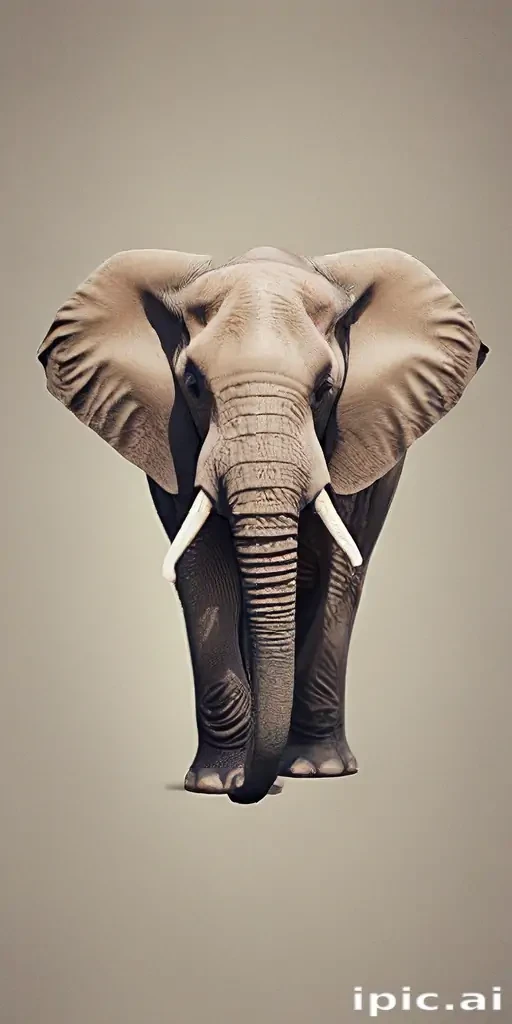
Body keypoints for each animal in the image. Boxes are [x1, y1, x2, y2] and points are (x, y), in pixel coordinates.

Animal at [37, 244, 488, 805]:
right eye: (193, 386)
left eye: (324, 390)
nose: (251, 791)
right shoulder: (173, 440)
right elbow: (204, 569)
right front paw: (215, 783)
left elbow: (339, 570)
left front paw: (317, 771)